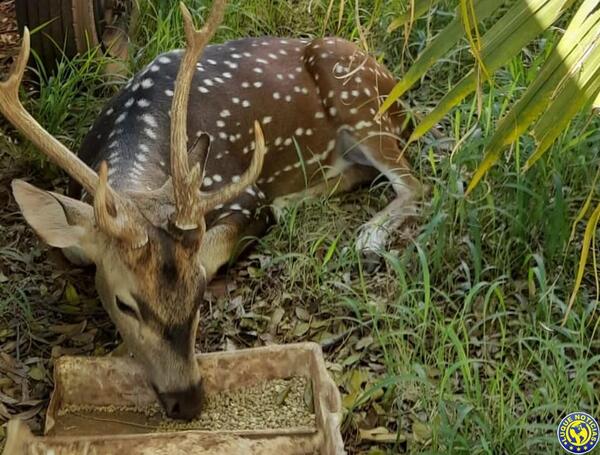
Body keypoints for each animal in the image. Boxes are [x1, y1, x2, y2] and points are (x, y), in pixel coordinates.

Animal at [0, 0, 422, 422]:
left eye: (201, 292)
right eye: (124, 303)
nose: (186, 400)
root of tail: (395, 85)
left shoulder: (245, 193)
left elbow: (213, 249)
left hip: (359, 100)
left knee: (416, 184)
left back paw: (366, 238)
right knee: (365, 172)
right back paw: (293, 203)